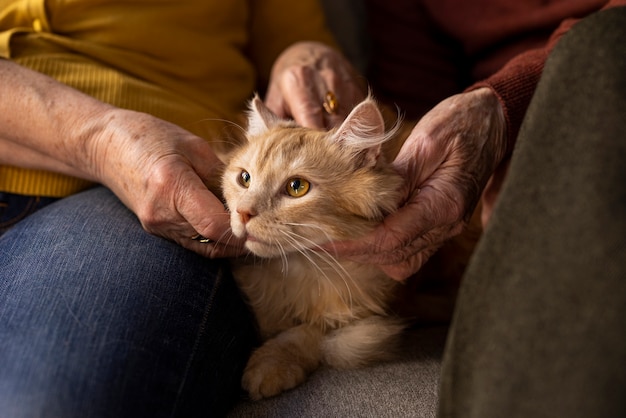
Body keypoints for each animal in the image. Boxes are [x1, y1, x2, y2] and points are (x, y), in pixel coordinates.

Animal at [222, 94, 408, 398]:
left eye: (297, 187)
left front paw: (271, 362)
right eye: (245, 179)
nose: (243, 212)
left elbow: (309, 333)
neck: (296, 272)